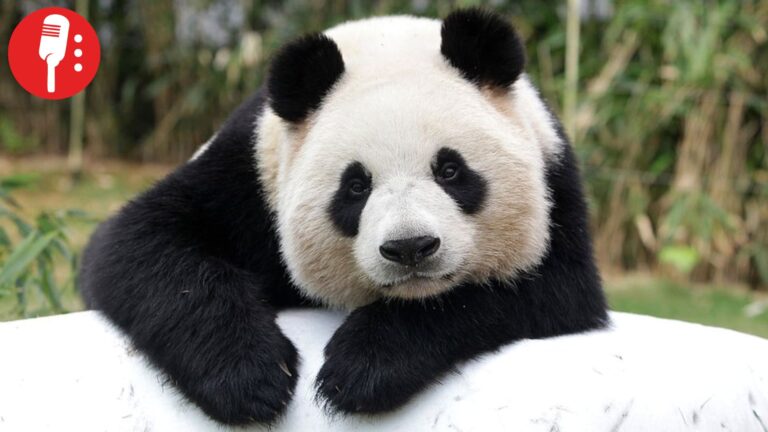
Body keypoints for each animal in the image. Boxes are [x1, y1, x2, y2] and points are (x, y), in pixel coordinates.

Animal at [79, 8, 608, 426]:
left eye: (450, 170)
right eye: (356, 186)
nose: (410, 248)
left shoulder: (554, 183)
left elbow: (542, 290)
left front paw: (362, 368)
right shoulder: (248, 176)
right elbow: (139, 244)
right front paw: (250, 377)